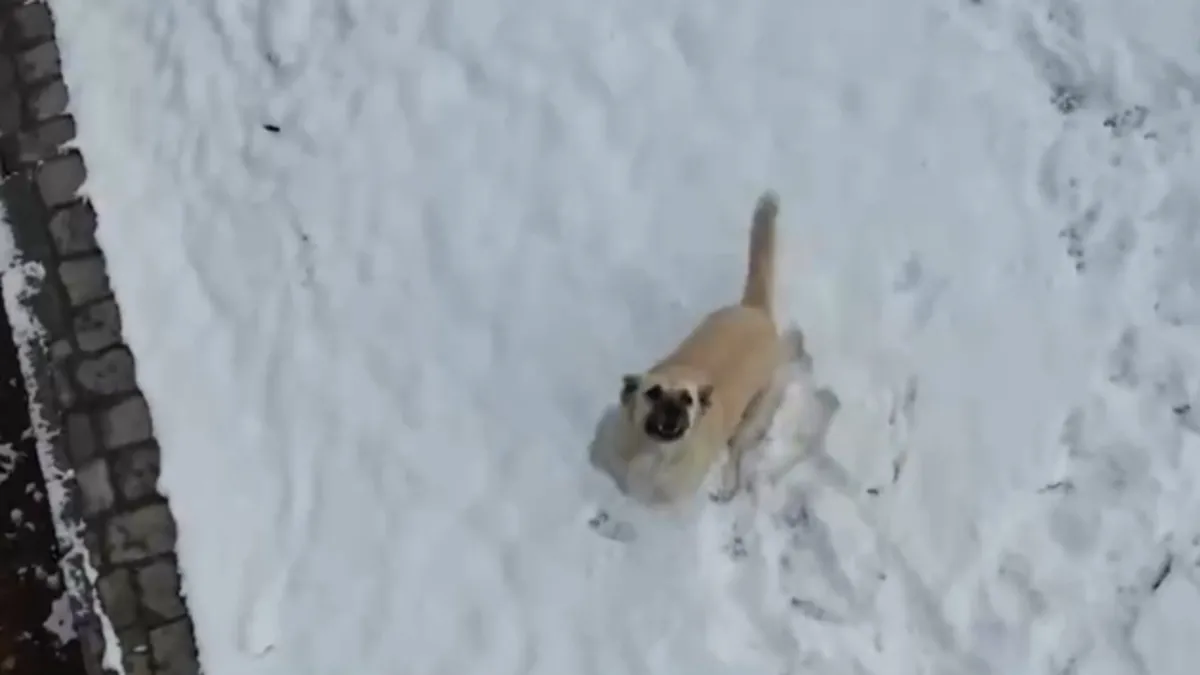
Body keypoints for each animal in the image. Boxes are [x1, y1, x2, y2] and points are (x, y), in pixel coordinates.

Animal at [616, 190, 800, 506]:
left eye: (687, 399)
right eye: (653, 393)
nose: (672, 411)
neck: (658, 457)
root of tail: (754, 310)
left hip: (755, 413)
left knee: (736, 451)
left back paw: (728, 486)